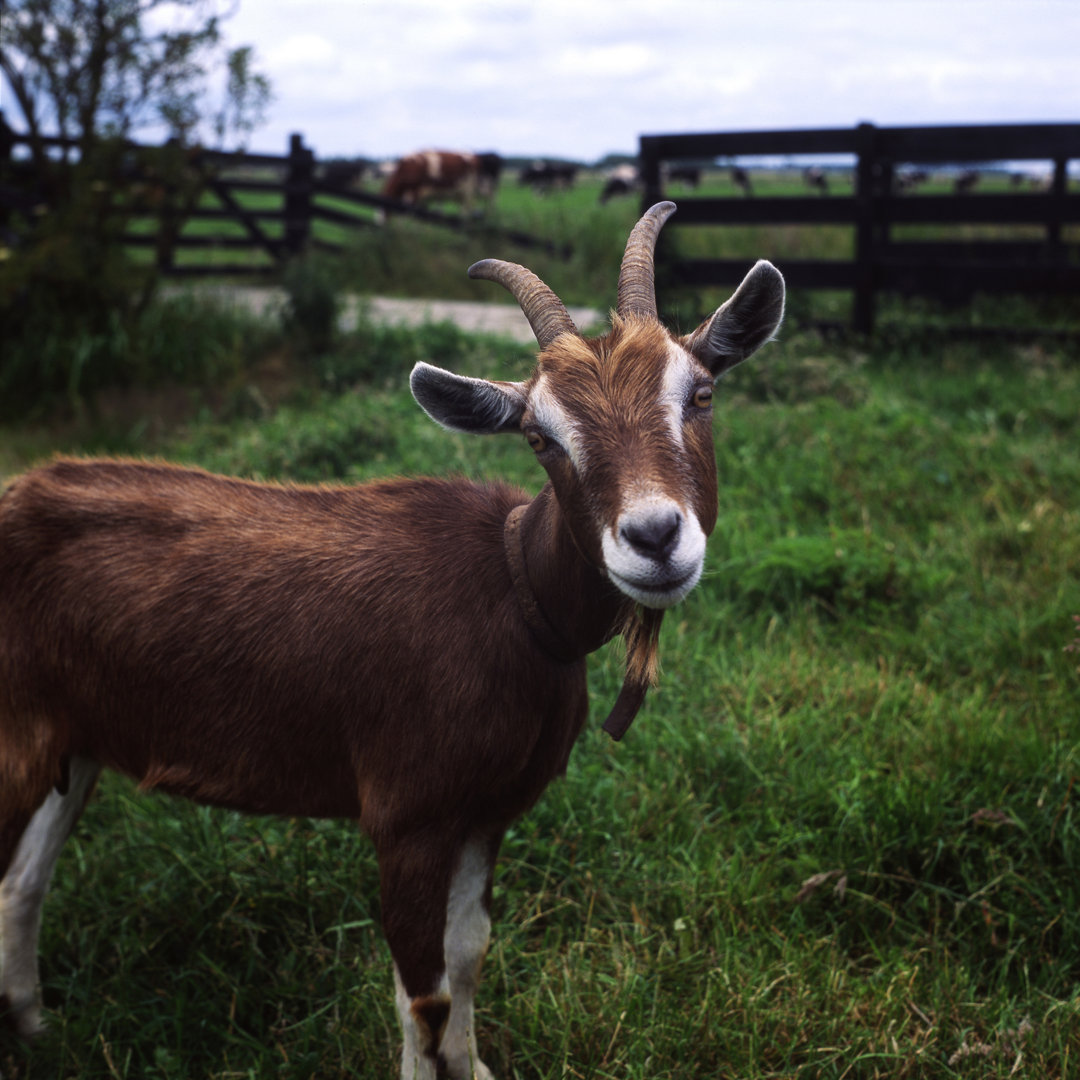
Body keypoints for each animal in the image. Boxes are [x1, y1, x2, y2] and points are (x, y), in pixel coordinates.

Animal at [4, 204, 790, 1080]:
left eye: (701, 393)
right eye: (540, 437)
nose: (654, 537)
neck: (514, 592)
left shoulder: (487, 811)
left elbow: (469, 954)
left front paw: (474, 1066)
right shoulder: (407, 815)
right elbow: (424, 994)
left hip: (73, 740)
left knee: (23, 880)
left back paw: (34, 1025)